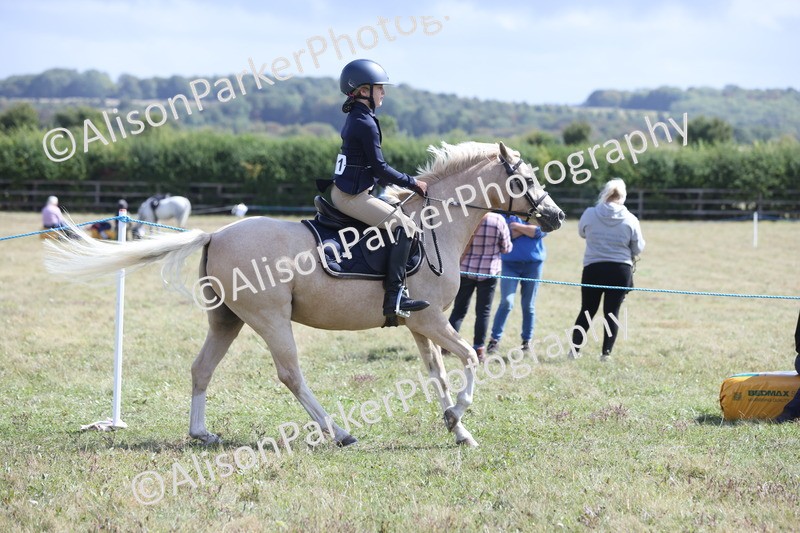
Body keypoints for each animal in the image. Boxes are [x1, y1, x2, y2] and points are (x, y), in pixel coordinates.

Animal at [44, 142, 565, 448]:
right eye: (524, 180)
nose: (556, 216)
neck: (439, 225)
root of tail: (217, 234)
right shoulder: (431, 320)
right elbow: (471, 359)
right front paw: (459, 414)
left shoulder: (420, 323)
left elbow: (436, 373)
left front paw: (458, 430)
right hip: (270, 318)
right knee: (290, 374)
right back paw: (339, 432)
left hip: (228, 319)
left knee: (201, 368)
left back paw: (201, 432)